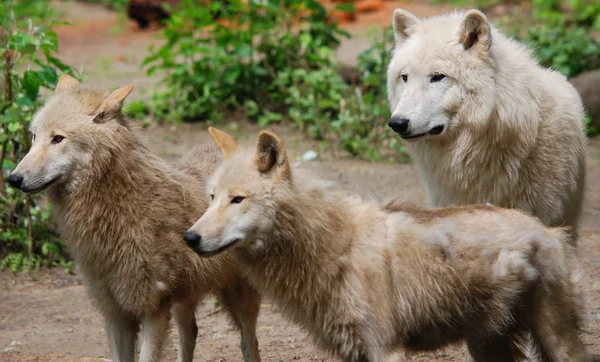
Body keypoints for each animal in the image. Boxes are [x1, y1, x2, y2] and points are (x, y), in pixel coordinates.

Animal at [7, 76, 262, 362]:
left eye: (58, 139)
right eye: (34, 137)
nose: (13, 179)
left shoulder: (153, 307)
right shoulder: (115, 314)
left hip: (240, 298)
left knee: (249, 342)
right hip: (185, 302)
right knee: (191, 332)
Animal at [184, 127, 584, 362]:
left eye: (238, 199)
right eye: (211, 197)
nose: (190, 238)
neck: (334, 246)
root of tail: (547, 230)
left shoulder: (386, 349)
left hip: (556, 341)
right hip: (487, 346)